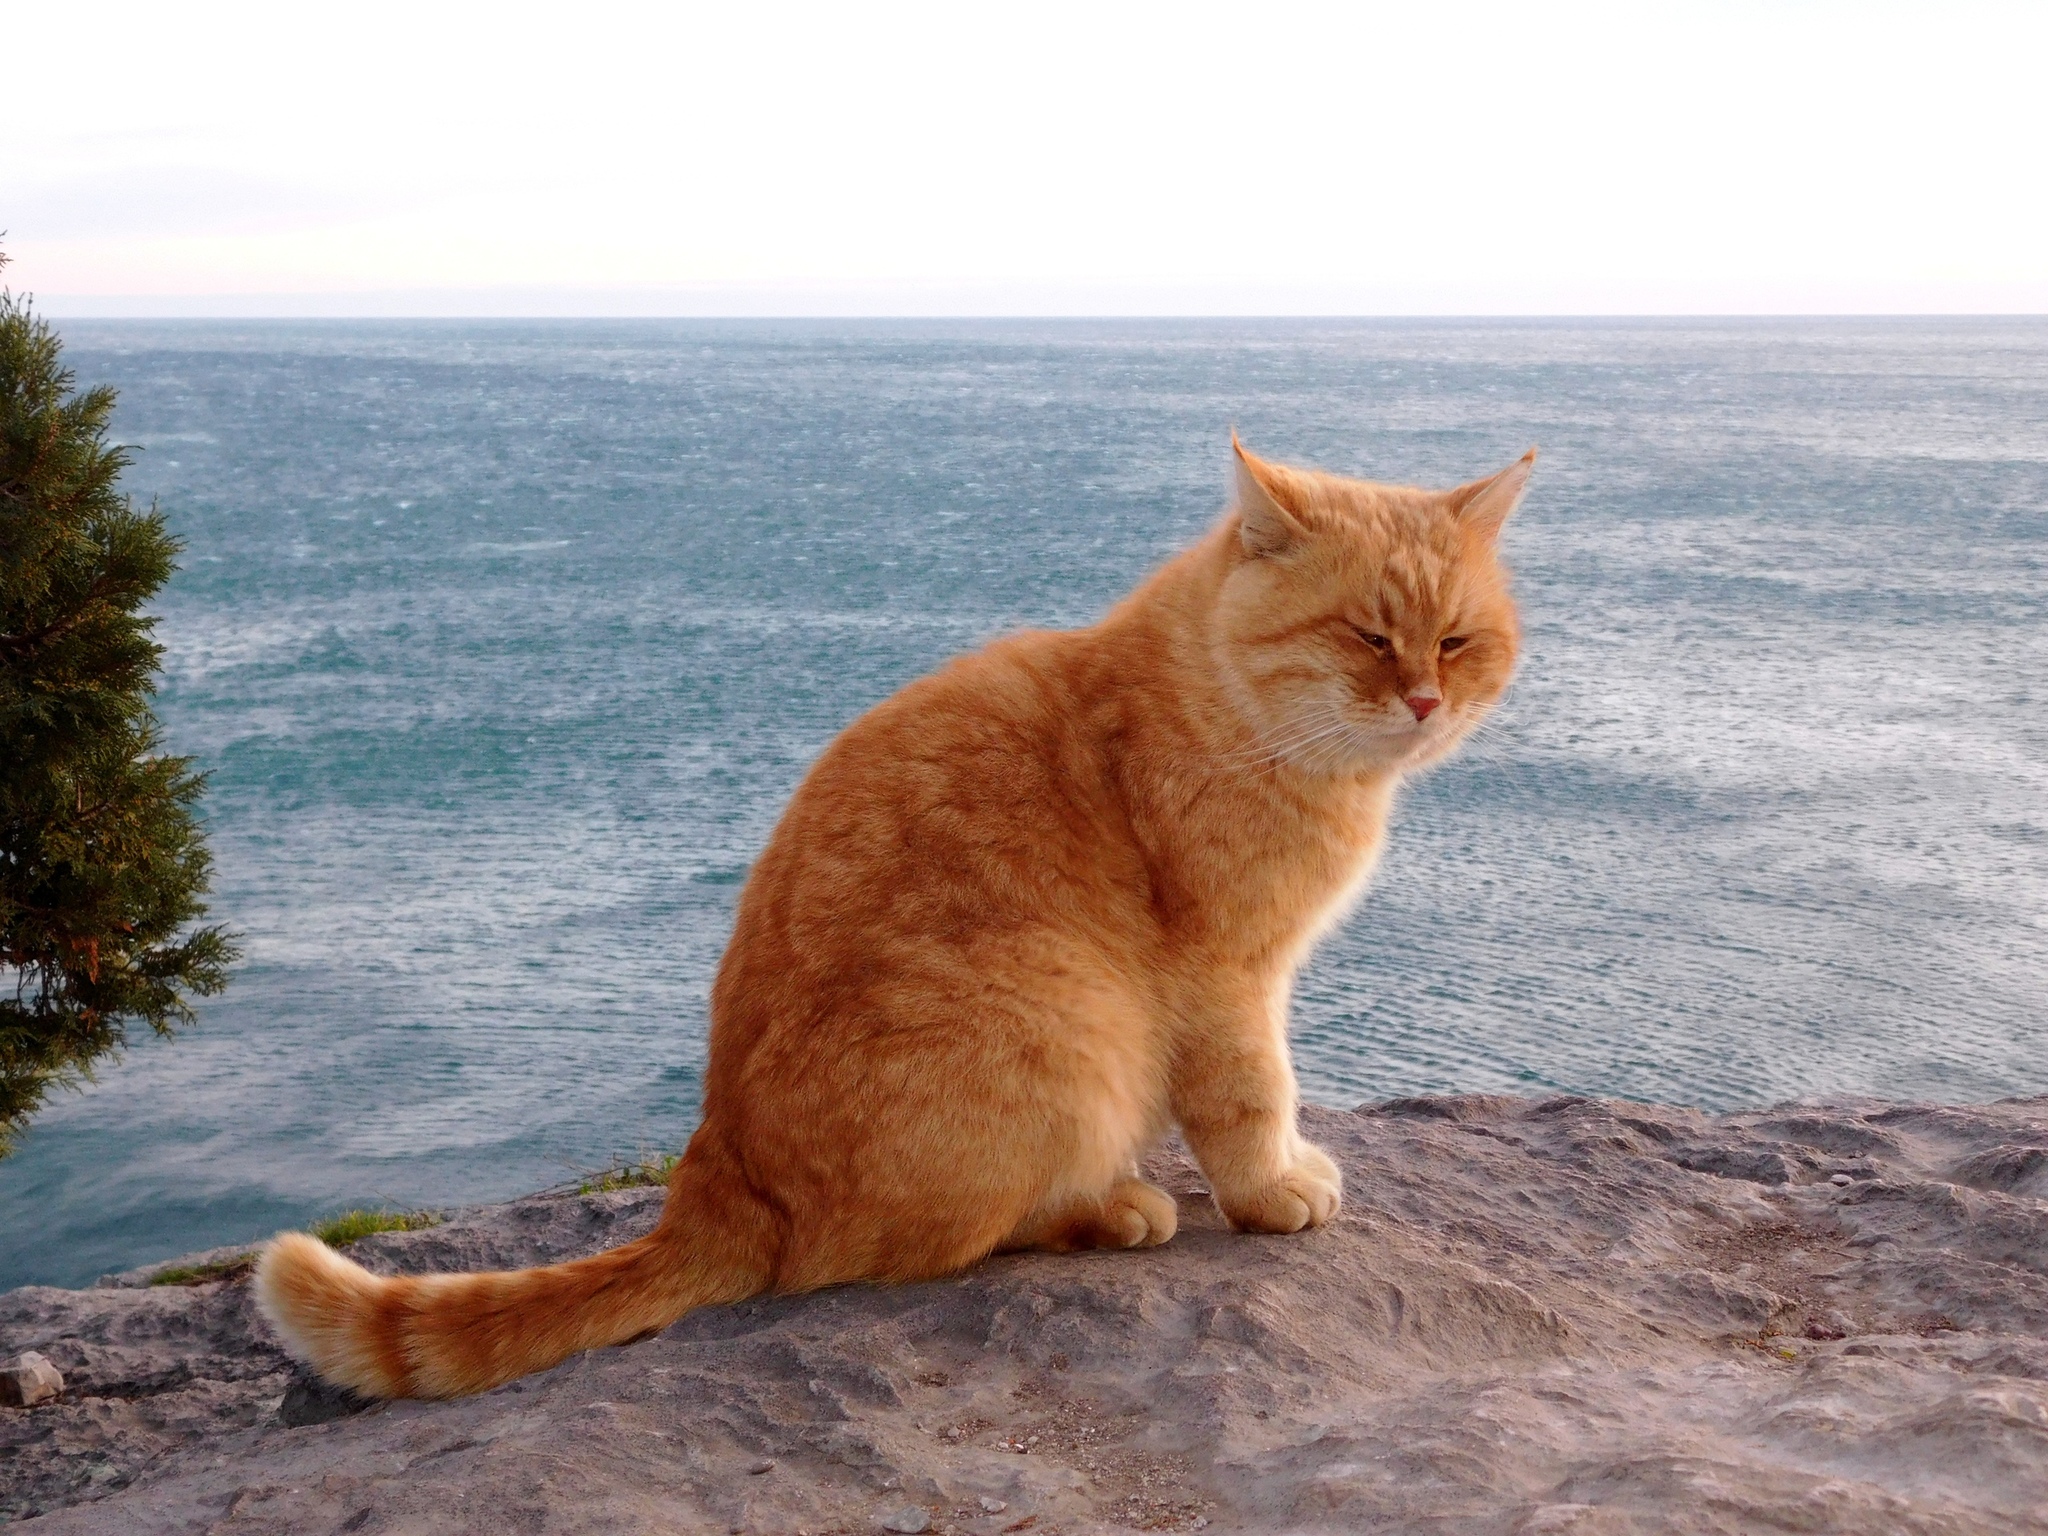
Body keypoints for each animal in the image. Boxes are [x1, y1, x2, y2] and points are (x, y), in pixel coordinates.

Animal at [256, 438, 1531, 1400]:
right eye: (1366, 636)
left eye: (1455, 641)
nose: (1422, 699)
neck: (1221, 704)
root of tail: (714, 1182)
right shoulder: (1226, 978)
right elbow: (1251, 1096)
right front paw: (1271, 1192)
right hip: (1068, 1034)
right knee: (932, 1246)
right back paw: (1113, 1206)